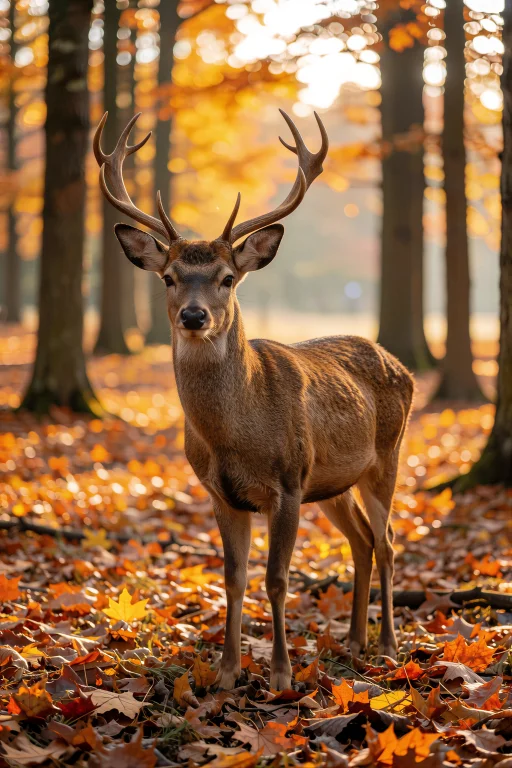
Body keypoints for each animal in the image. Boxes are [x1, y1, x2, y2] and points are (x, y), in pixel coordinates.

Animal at [94, 110, 414, 691]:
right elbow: (234, 578)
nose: (193, 315)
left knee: (387, 541)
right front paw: (226, 672)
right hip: (332, 481)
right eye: (169, 277)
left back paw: (386, 645)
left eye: (227, 278)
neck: (235, 437)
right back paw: (355, 641)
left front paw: (281, 675)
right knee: (359, 540)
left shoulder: (287, 482)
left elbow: (277, 579)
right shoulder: (221, 493)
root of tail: (400, 364)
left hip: (386, 456)